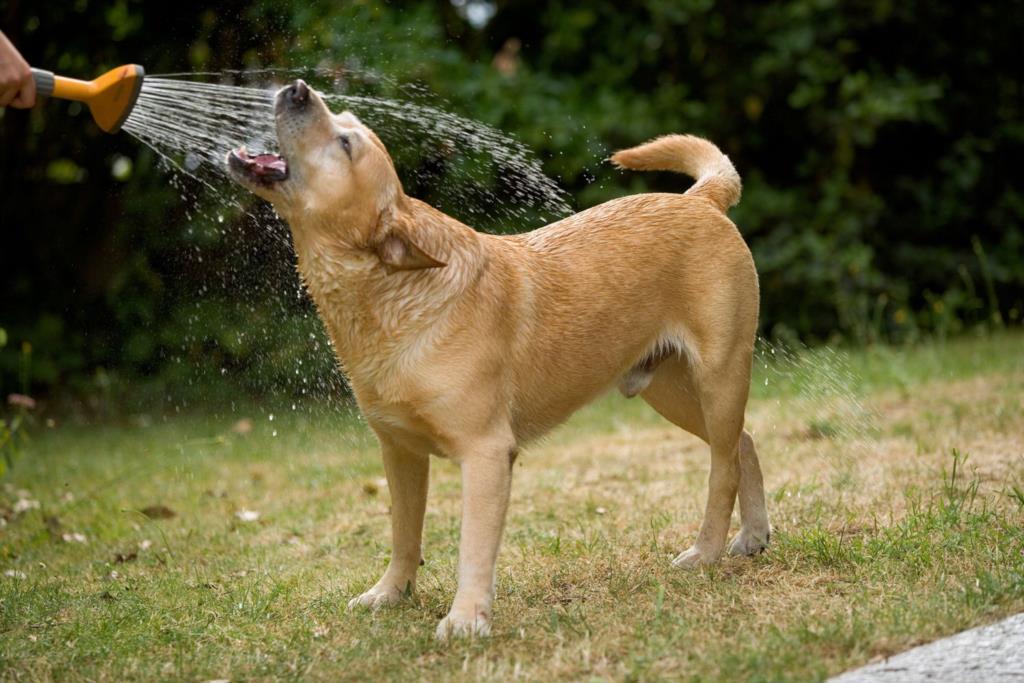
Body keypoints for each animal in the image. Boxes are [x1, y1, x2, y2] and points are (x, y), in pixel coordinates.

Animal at [224, 80, 770, 643]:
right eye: (344, 124)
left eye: (346, 143)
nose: (297, 88)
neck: (393, 297)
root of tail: (701, 200)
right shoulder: (399, 451)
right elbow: (403, 532)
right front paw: (390, 594)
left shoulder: (485, 452)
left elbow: (472, 546)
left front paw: (466, 618)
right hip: (669, 390)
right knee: (742, 444)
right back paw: (752, 536)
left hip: (719, 374)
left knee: (722, 470)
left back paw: (705, 552)